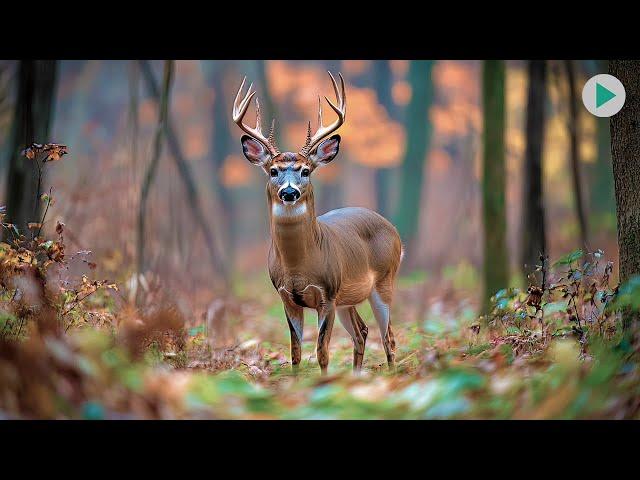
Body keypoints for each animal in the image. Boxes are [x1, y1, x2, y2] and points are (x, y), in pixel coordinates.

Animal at [231, 71, 400, 376]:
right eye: (273, 171)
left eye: (305, 170)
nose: (289, 192)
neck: (298, 267)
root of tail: (392, 228)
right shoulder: (286, 297)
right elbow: (296, 351)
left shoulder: (327, 295)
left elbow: (322, 351)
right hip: (348, 298)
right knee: (362, 331)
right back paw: (356, 376)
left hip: (383, 281)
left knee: (388, 337)